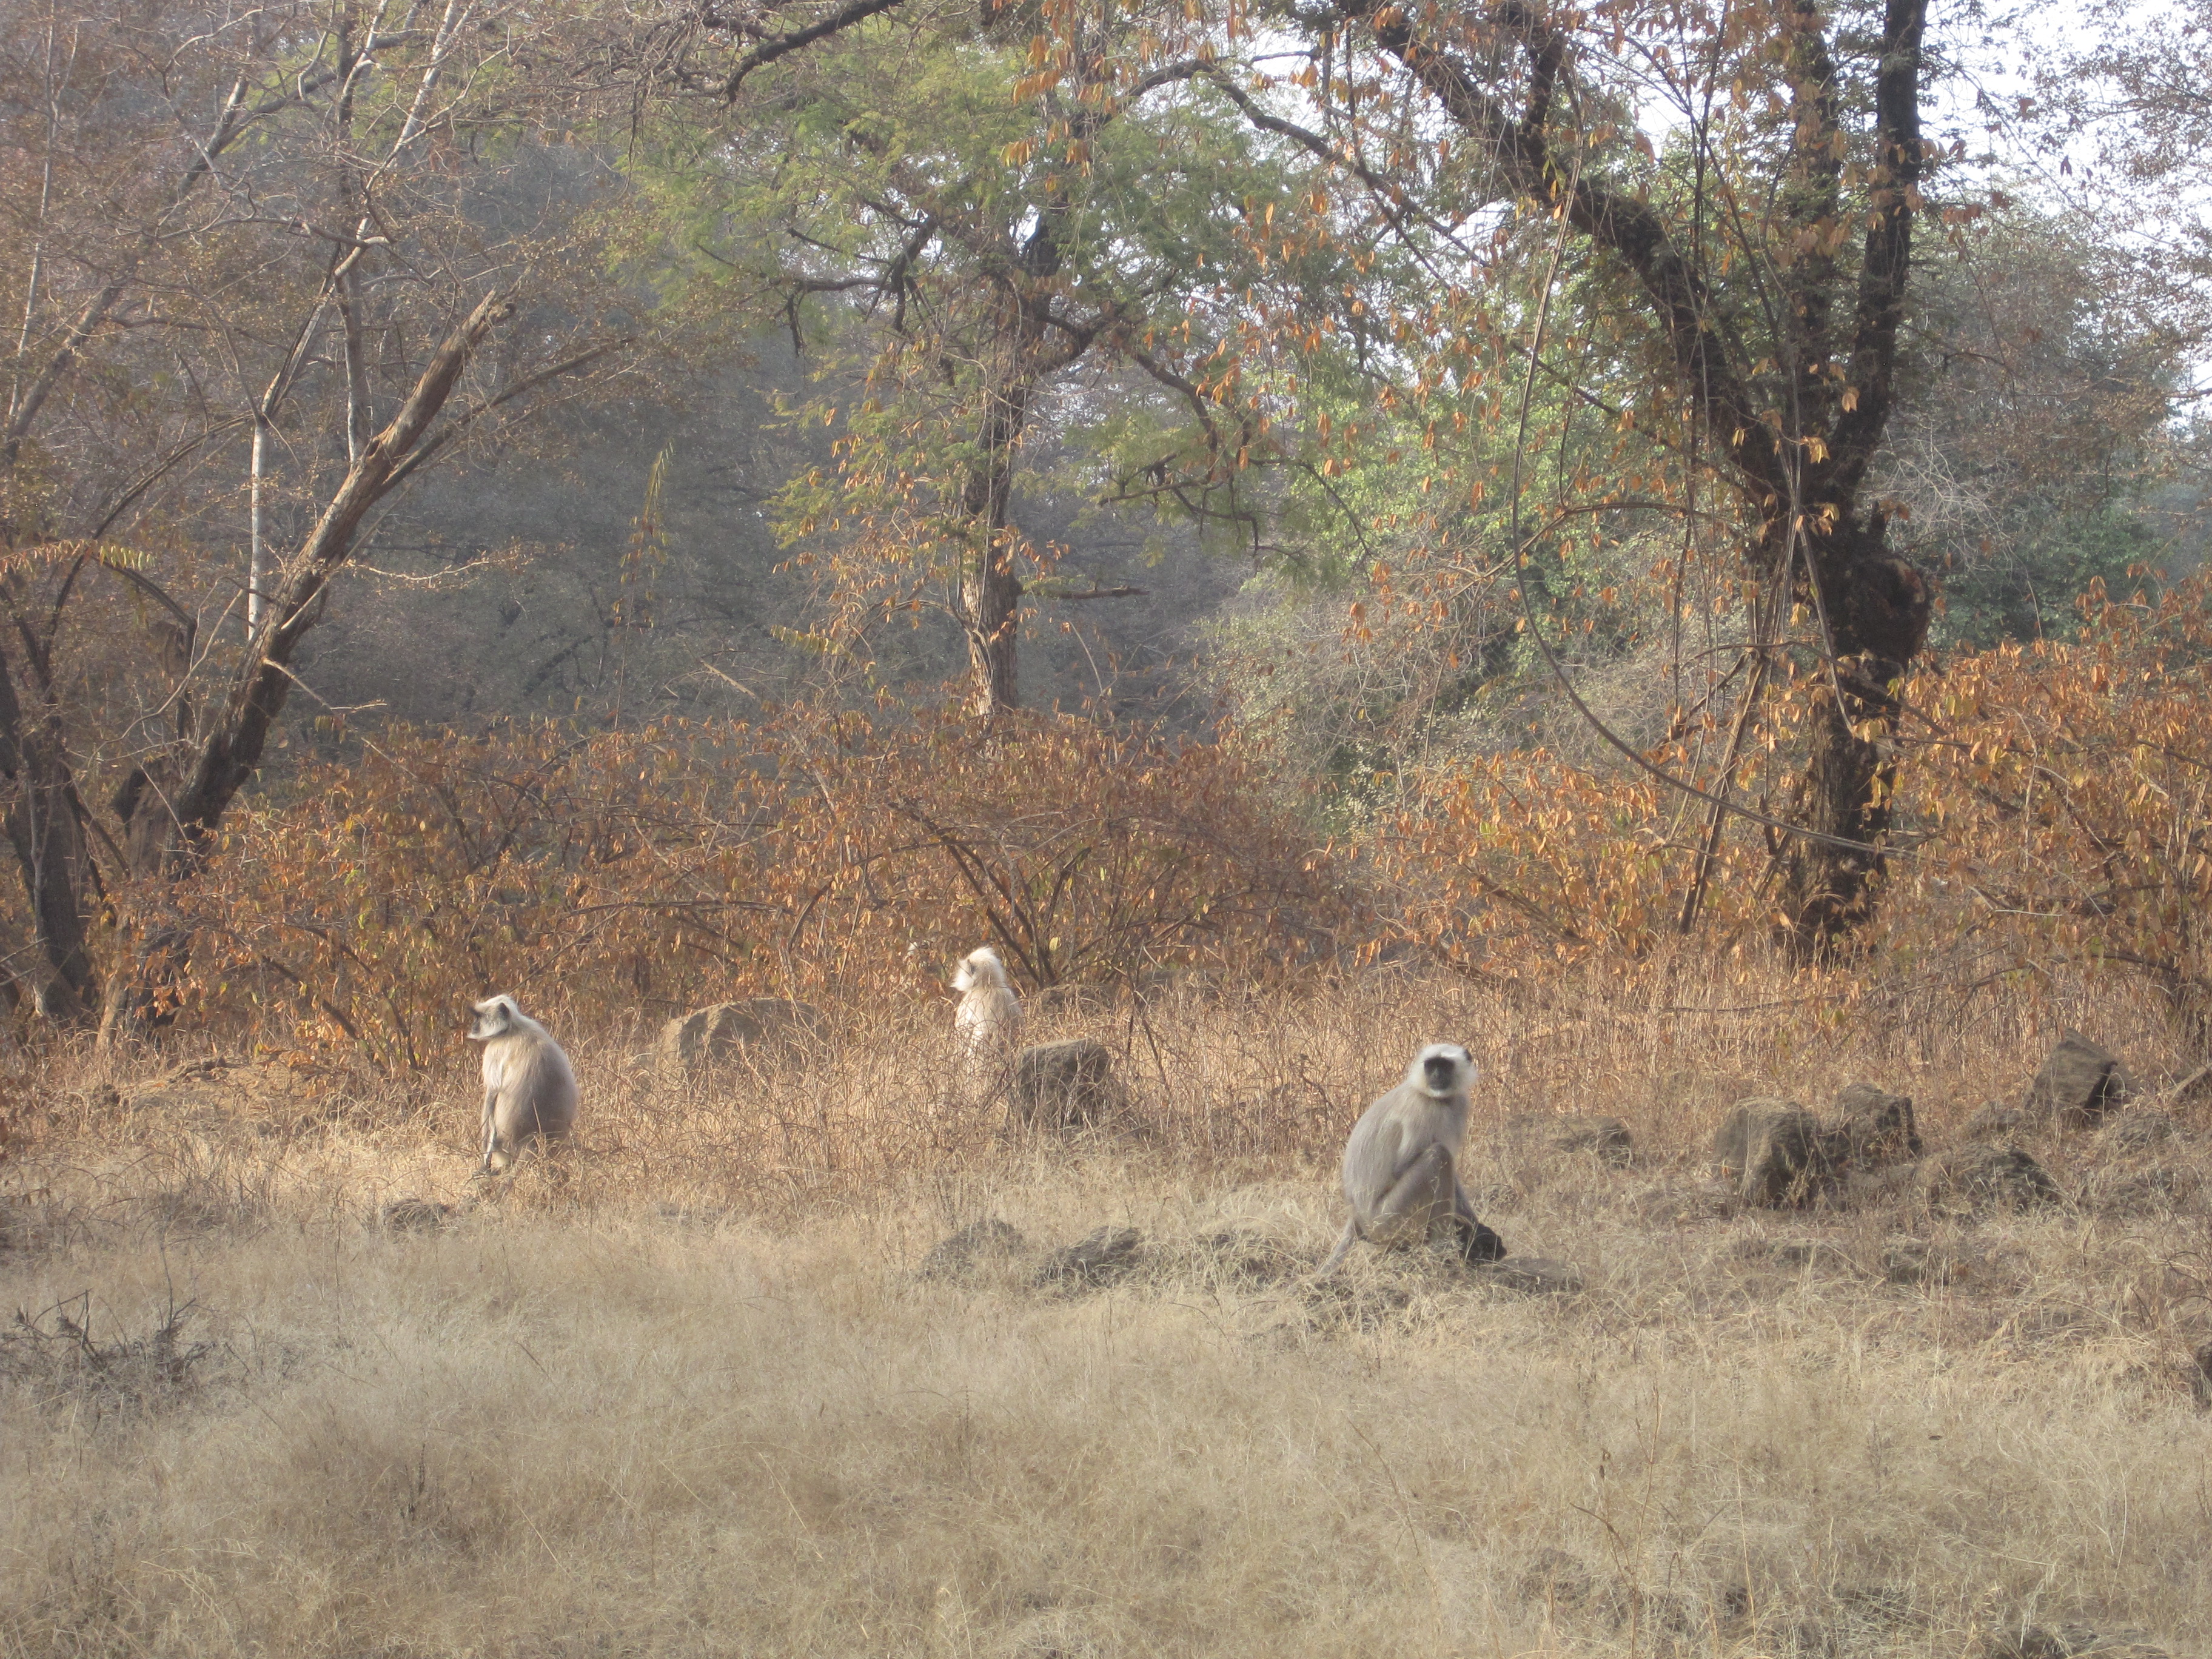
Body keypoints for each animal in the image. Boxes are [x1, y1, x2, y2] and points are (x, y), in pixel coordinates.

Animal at [466, 995, 579, 1176]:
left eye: (479, 1017)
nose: (474, 1026)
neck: (513, 1028)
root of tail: (531, 1139)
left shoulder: (495, 1050)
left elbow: (492, 1096)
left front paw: (483, 1165)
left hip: (504, 1145)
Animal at [1309, 1044, 1504, 1282]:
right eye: (1431, 1066)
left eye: (1444, 1066)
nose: (1436, 1076)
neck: (1433, 1096)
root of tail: (1356, 1217)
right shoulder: (1424, 1111)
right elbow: (1401, 1168)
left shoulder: (1459, 1104)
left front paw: (1477, 1228)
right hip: (1388, 1218)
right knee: (1438, 1155)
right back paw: (1442, 1250)